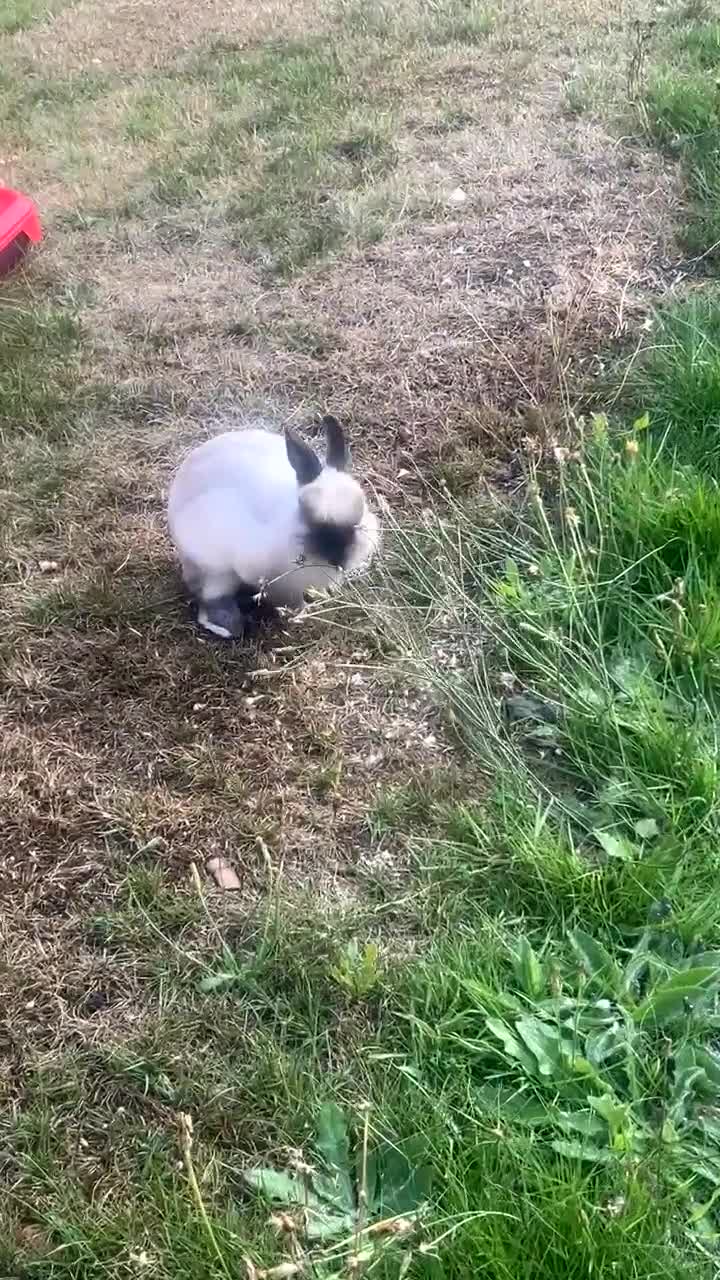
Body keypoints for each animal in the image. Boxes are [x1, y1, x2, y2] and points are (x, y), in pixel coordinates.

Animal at [167, 415, 381, 638]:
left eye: (361, 511)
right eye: (308, 515)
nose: (339, 559)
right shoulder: (275, 582)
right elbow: (290, 601)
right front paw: (302, 615)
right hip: (215, 569)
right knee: (211, 596)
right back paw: (228, 626)